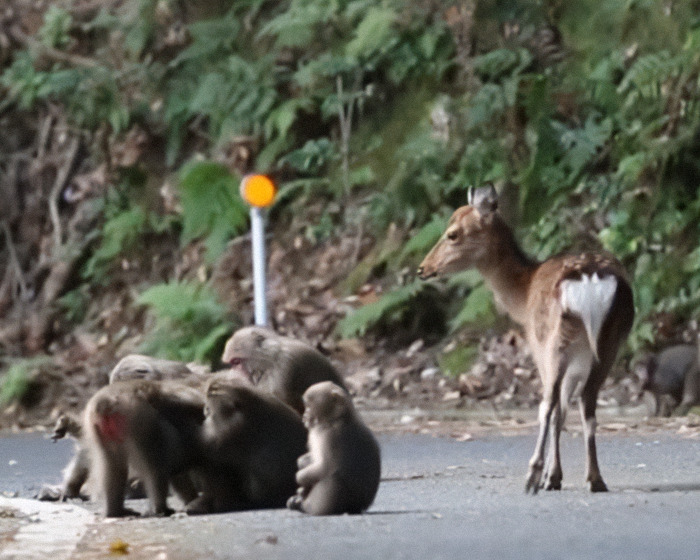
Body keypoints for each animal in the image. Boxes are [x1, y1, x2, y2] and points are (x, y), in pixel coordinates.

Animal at [84, 380, 205, 517]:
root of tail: (107, 401)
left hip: (101, 429)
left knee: (113, 465)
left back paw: (114, 511)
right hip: (139, 417)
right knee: (156, 466)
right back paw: (160, 509)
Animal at [286, 381, 381, 516]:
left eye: (309, 406)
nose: (305, 415)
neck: (333, 419)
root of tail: (357, 507)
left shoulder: (329, 436)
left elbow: (324, 467)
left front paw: (299, 478)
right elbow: (306, 461)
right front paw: (301, 464)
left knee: (331, 476)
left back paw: (304, 506)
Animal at [417, 183, 634, 493]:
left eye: (453, 233)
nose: (422, 268)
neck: (523, 291)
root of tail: (590, 280)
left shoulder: (537, 345)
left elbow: (555, 409)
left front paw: (550, 477)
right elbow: (566, 410)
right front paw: (555, 476)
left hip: (555, 341)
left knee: (548, 405)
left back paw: (533, 475)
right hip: (609, 342)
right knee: (588, 404)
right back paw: (595, 478)